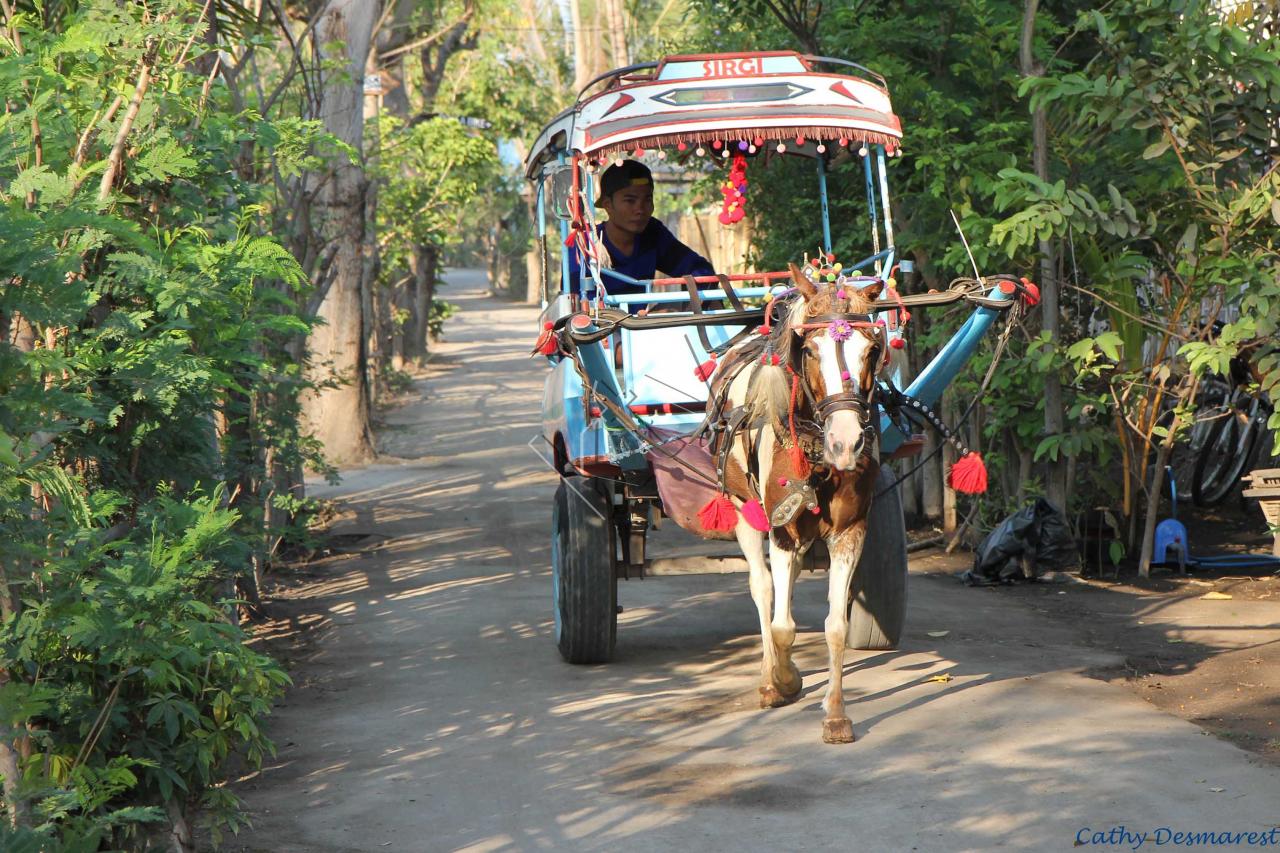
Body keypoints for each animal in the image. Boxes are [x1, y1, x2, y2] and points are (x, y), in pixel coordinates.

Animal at [701, 262, 890, 742]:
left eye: (870, 350)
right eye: (811, 351)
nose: (846, 442)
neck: (818, 452)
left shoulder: (850, 531)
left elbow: (837, 627)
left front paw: (837, 714)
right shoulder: (781, 531)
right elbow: (783, 625)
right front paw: (784, 680)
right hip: (744, 511)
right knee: (762, 587)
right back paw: (770, 676)